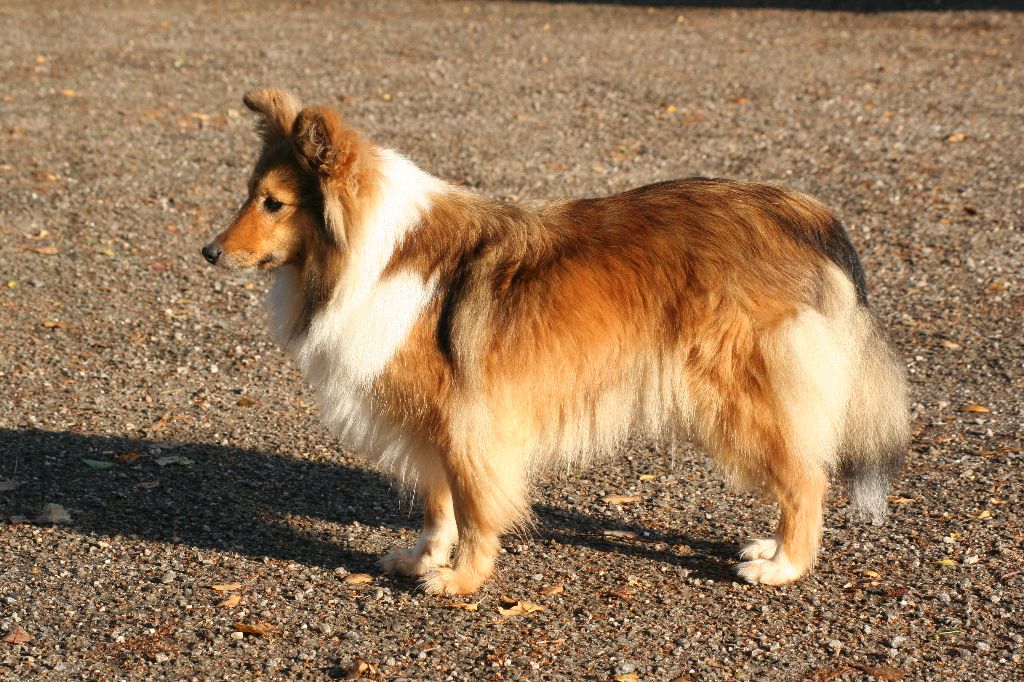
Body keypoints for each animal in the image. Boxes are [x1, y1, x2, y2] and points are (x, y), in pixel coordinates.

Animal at [201, 87, 913, 593]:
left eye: (273, 203)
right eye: (250, 194)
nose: (208, 253)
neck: (370, 254)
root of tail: (805, 214)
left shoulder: (467, 421)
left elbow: (475, 507)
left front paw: (462, 580)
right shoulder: (428, 421)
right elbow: (437, 504)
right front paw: (422, 559)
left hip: (741, 394)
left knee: (807, 476)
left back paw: (783, 565)